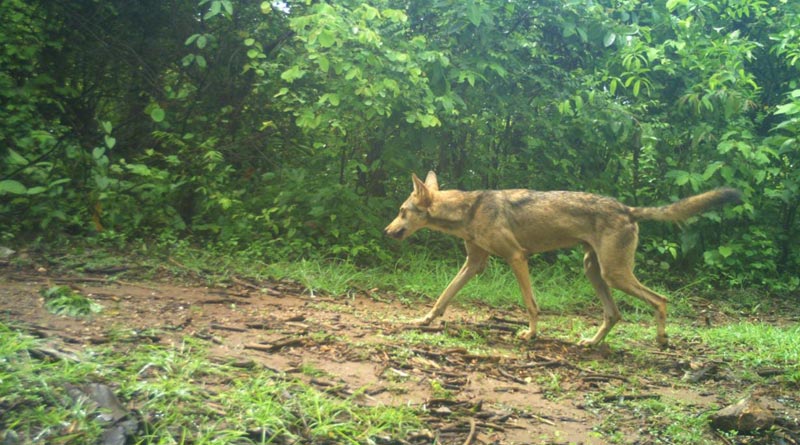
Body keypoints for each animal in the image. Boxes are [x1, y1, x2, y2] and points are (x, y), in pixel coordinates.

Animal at [384, 171, 741, 346]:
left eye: (401, 211)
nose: (387, 231)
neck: (467, 211)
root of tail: (627, 208)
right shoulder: (474, 264)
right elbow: (443, 297)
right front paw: (423, 321)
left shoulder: (516, 258)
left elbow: (531, 305)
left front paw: (530, 335)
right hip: (594, 271)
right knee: (615, 314)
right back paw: (591, 343)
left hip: (614, 274)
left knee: (661, 300)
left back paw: (662, 340)